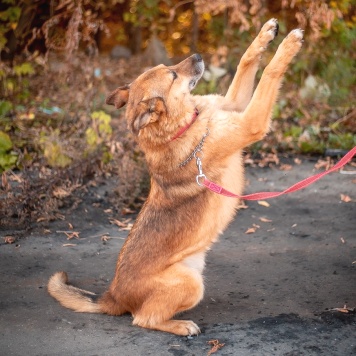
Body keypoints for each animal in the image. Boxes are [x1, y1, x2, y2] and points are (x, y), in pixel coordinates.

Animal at [47, 18, 304, 336]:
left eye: (167, 66)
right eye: (172, 75)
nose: (198, 55)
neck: (183, 126)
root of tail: (113, 296)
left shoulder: (235, 104)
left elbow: (246, 60)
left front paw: (265, 35)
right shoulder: (250, 121)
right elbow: (270, 72)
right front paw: (289, 45)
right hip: (191, 282)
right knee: (142, 319)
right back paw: (181, 326)